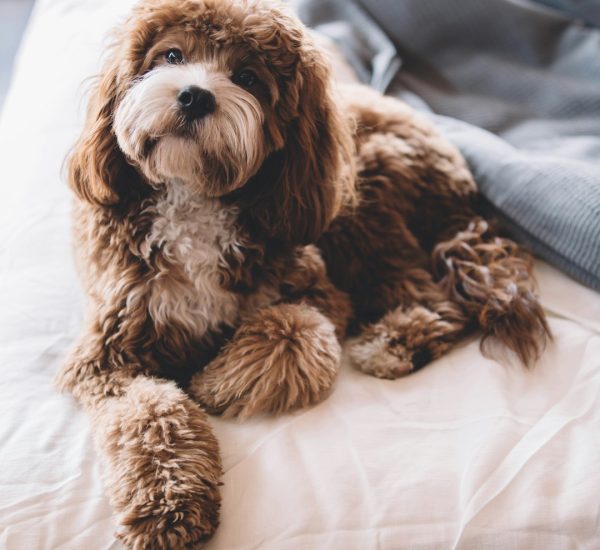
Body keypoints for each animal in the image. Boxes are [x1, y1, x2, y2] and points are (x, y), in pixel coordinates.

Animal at [55, 0, 548, 548]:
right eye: (171, 55)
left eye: (248, 77)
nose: (194, 95)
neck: (193, 197)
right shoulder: (109, 353)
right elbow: (150, 413)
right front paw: (169, 506)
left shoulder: (315, 285)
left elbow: (292, 330)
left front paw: (217, 381)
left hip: (360, 200)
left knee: (432, 296)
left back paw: (393, 341)